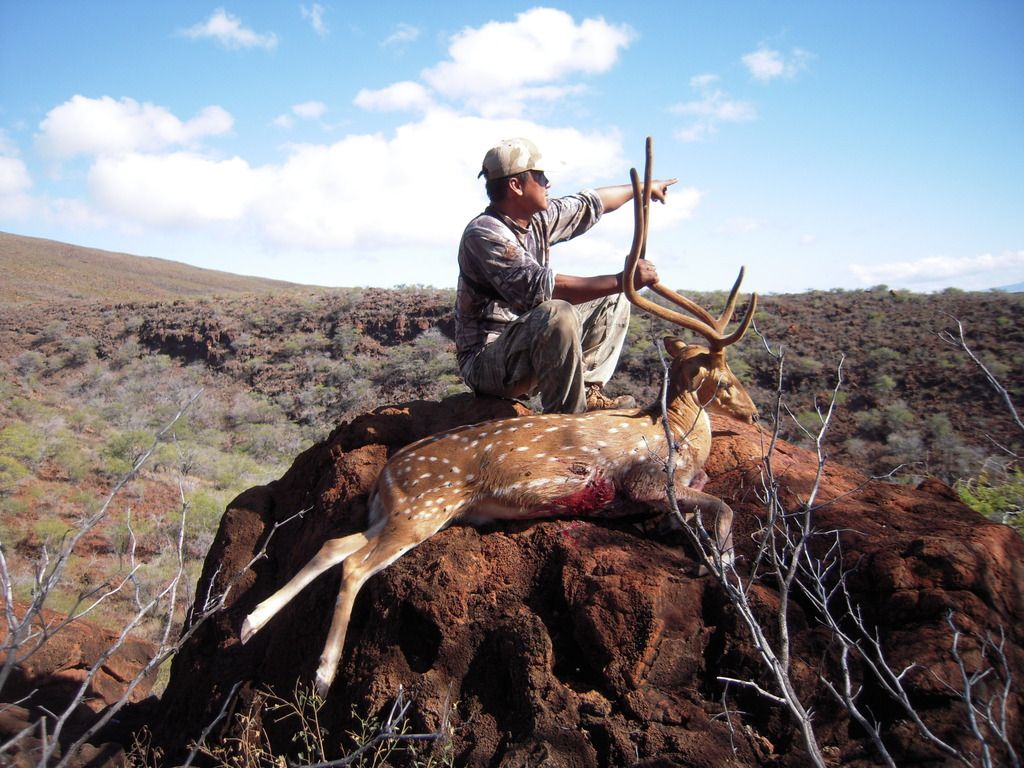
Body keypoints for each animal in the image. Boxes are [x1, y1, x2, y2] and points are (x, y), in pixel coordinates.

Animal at [240, 138, 759, 695]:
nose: (752, 414)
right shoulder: (645, 481)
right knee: (355, 565)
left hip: (397, 514)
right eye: (724, 379)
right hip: (427, 507)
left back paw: (250, 623)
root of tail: (386, 474)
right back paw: (322, 675)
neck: (677, 431)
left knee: (335, 543)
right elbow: (724, 508)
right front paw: (717, 564)